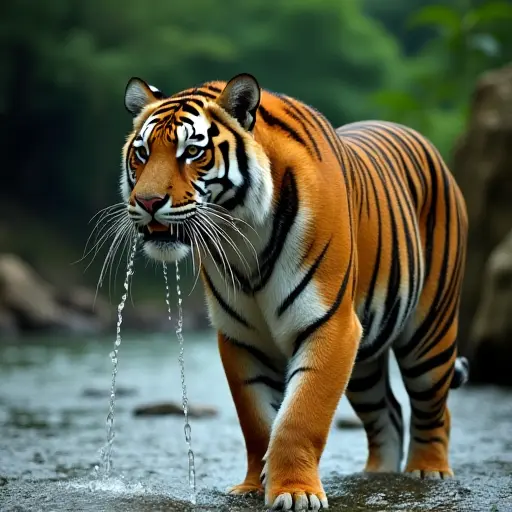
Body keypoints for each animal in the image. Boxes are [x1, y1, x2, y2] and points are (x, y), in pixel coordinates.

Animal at [119, 73, 468, 512]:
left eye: (192, 152)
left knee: (433, 410)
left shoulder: (331, 325)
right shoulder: (241, 337)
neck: (243, 233)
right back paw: (376, 477)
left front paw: (295, 492)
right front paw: (254, 486)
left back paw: (428, 471)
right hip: (365, 361)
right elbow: (257, 422)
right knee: (387, 414)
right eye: (142, 153)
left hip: (429, 336)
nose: (147, 202)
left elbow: (300, 417)